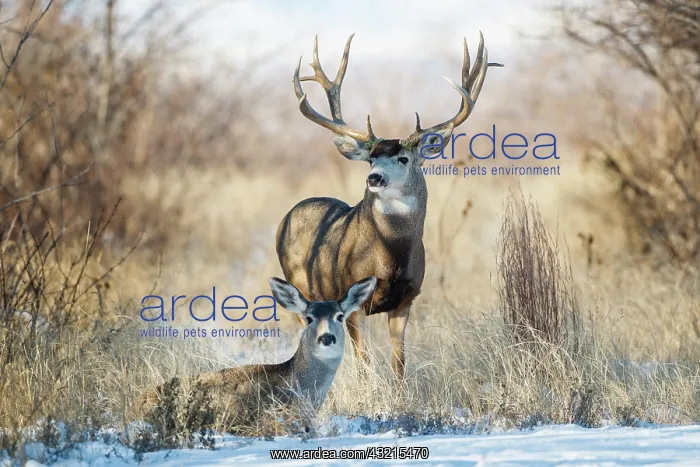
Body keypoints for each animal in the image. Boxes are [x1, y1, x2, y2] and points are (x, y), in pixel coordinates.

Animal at [276, 32, 502, 383]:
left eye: (403, 158)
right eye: (371, 158)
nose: (374, 177)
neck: (390, 257)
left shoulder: (406, 298)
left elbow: (399, 363)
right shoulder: (353, 302)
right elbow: (365, 363)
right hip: (301, 288)